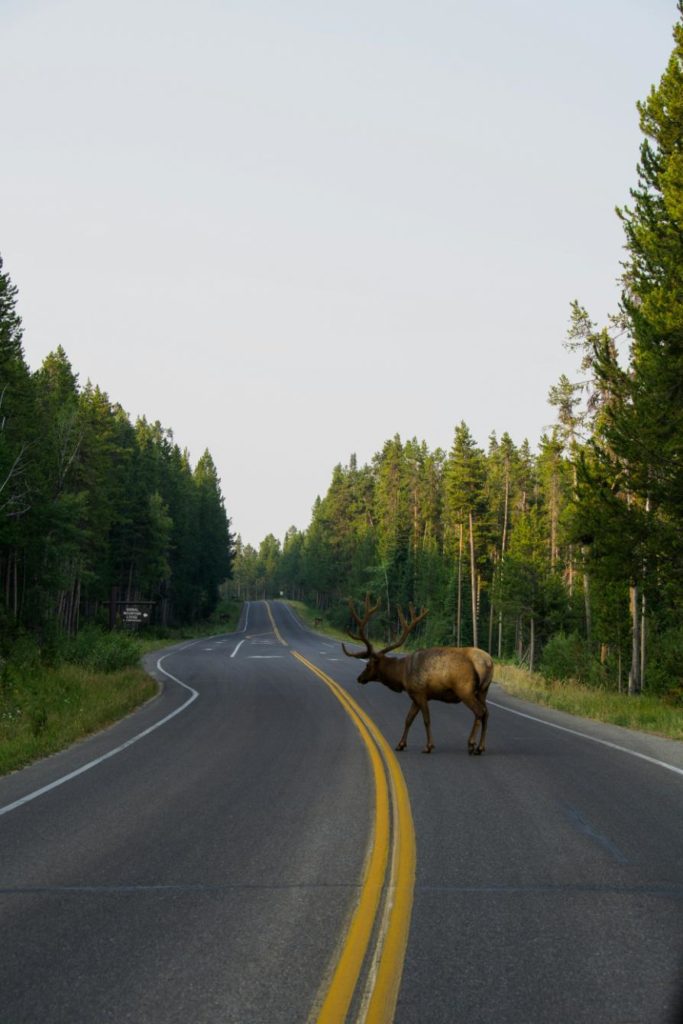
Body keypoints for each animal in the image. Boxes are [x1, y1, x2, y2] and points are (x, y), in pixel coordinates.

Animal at [344, 598, 493, 757]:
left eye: (368, 664)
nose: (359, 678)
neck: (401, 675)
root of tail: (488, 662)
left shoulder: (420, 692)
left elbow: (426, 720)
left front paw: (428, 746)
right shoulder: (415, 696)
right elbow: (408, 719)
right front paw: (401, 744)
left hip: (464, 689)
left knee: (479, 711)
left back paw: (471, 744)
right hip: (483, 690)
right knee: (486, 713)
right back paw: (480, 747)